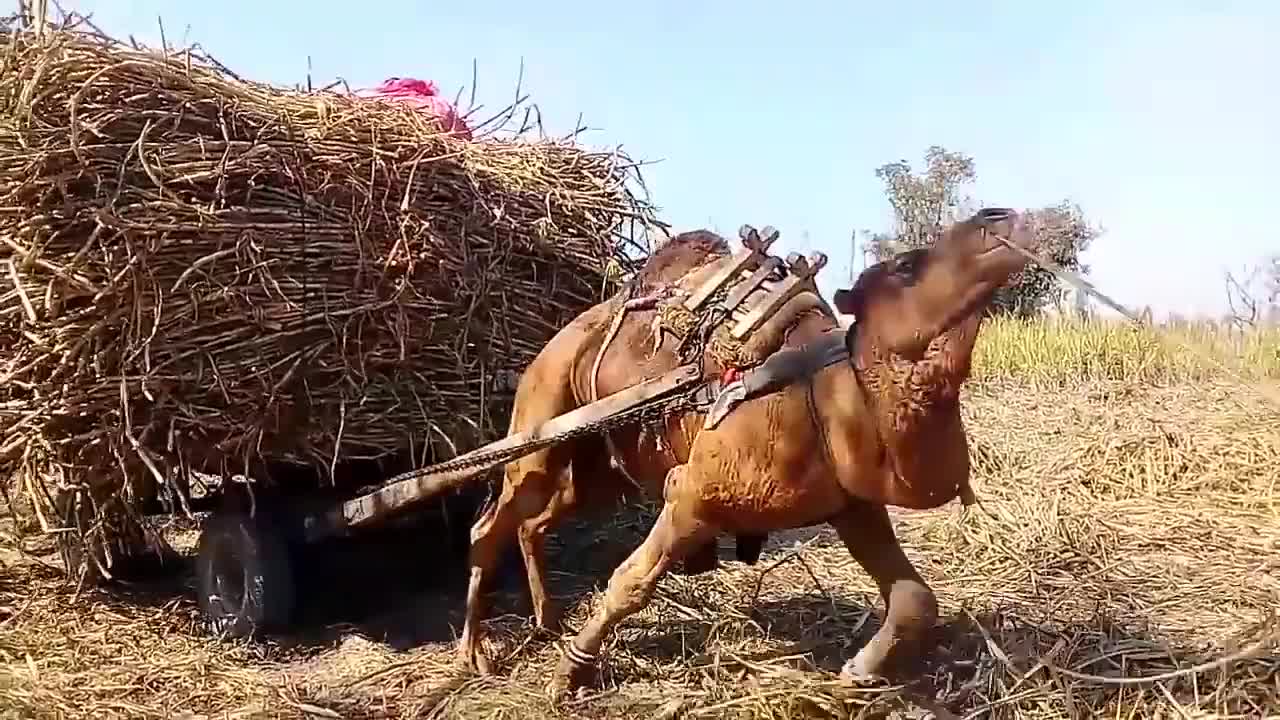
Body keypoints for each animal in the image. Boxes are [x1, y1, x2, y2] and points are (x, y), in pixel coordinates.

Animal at [450, 206, 1029, 691]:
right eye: (907, 265)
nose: (1000, 217)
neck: (823, 388)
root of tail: (555, 339)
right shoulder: (694, 494)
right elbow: (629, 583)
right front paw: (569, 674)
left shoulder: (850, 502)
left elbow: (915, 599)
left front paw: (856, 674)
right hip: (541, 419)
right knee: (490, 524)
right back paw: (474, 653)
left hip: (598, 464)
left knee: (535, 521)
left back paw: (545, 621)